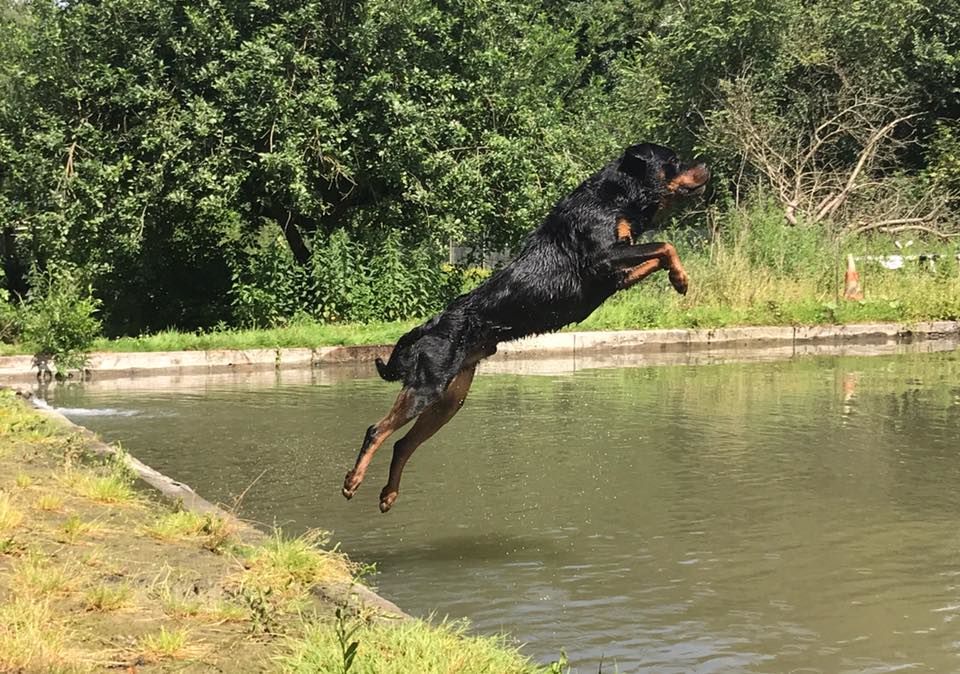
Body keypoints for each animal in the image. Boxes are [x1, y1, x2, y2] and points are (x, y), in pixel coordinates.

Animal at [342, 142, 708, 510]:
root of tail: (429, 326)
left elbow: (659, 253)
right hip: (426, 388)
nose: (706, 166)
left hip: (449, 400)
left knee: (402, 444)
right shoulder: (603, 259)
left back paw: (388, 495)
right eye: (674, 161)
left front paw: (678, 278)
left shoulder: (615, 275)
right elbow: (665, 245)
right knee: (377, 431)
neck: (613, 197)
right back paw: (353, 481)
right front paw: (681, 279)